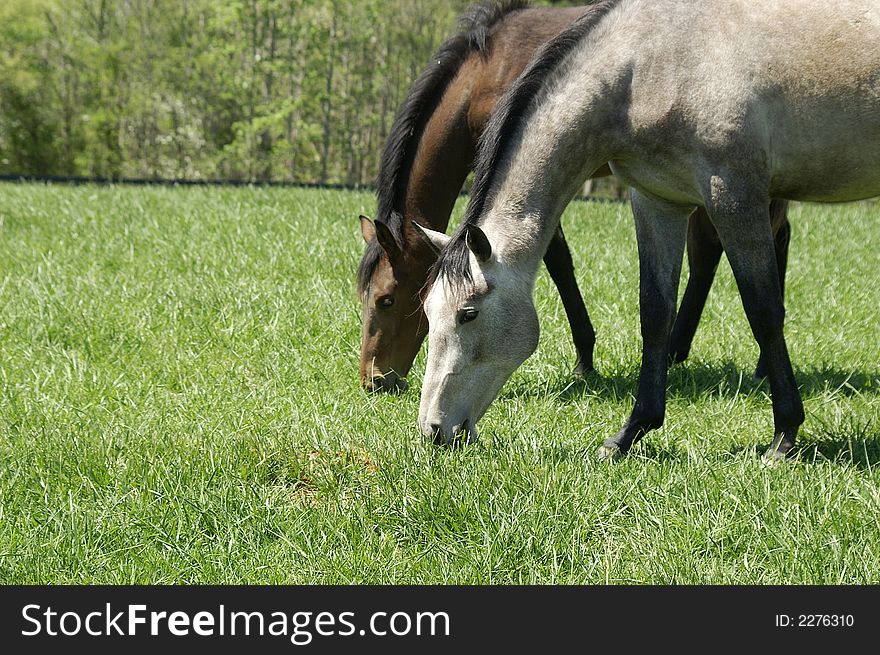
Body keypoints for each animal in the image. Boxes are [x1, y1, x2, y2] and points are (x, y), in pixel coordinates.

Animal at [414, 0, 880, 462]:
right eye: (427, 313)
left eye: (468, 313)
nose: (433, 430)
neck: (651, 65)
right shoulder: (657, 202)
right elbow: (654, 312)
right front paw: (630, 433)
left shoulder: (734, 195)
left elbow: (763, 310)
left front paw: (784, 435)